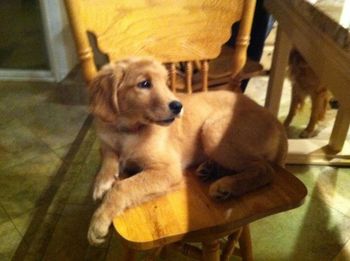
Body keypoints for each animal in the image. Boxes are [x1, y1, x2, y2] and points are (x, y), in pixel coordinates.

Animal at [87, 57, 288, 244]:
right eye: (144, 84)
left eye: (166, 83)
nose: (178, 106)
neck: (129, 130)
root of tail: (277, 124)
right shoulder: (107, 143)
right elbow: (110, 156)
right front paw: (102, 181)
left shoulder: (168, 170)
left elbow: (123, 186)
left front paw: (99, 221)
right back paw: (210, 169)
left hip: (213, 129)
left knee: (264, 169)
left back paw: (226, 186)